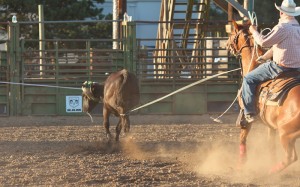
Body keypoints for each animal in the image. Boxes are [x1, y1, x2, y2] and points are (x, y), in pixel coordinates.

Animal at [226, 20, 300, 174]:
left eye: (232, 33)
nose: (226, 44)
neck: (253, 65)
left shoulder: (246, 116)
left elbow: (242, 138)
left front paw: (241, 164)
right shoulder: (270, 124)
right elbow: (270, 144)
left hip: (286, 133)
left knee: (291, 157)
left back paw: (272, 171)